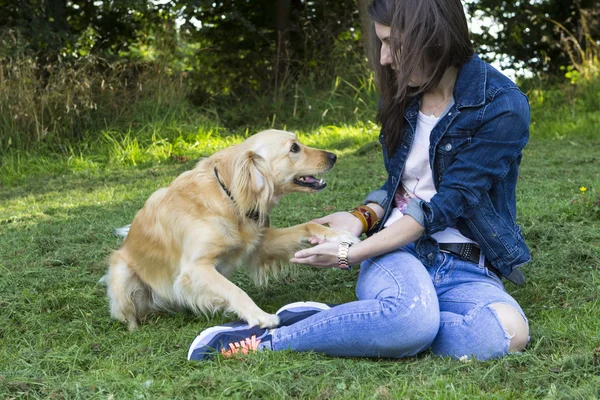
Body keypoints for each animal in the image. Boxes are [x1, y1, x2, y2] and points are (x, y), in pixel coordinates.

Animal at [104, 129, 356, 332]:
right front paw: (260, 316)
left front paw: (339, 235)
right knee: (129, 314)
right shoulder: (194, 268)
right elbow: (234, 290)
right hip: (122, 274)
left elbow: (308, 225)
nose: (334, 156)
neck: (227, 196)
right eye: (294, 148)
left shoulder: (260, 241)